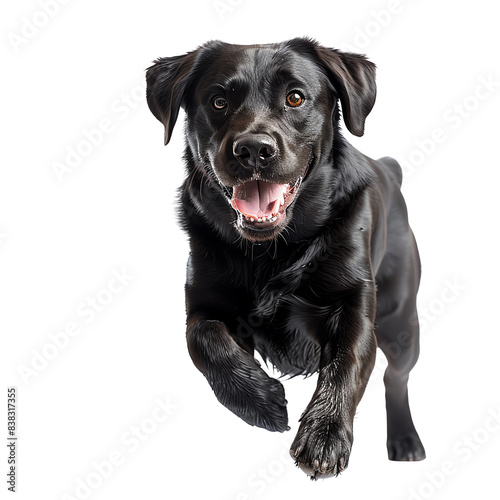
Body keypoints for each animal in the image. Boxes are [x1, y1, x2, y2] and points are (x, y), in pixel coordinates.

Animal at [145, 38, 426, 476]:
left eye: (295, 98)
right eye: (219, 101)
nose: (253, 150)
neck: (273, 251)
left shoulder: (354, 304)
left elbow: (345, 363)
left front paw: (324, 434)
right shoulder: (203, 305)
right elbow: (204, 341)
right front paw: (261, 403)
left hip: (402, 324)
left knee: (396, 378)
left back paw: (405, 440)